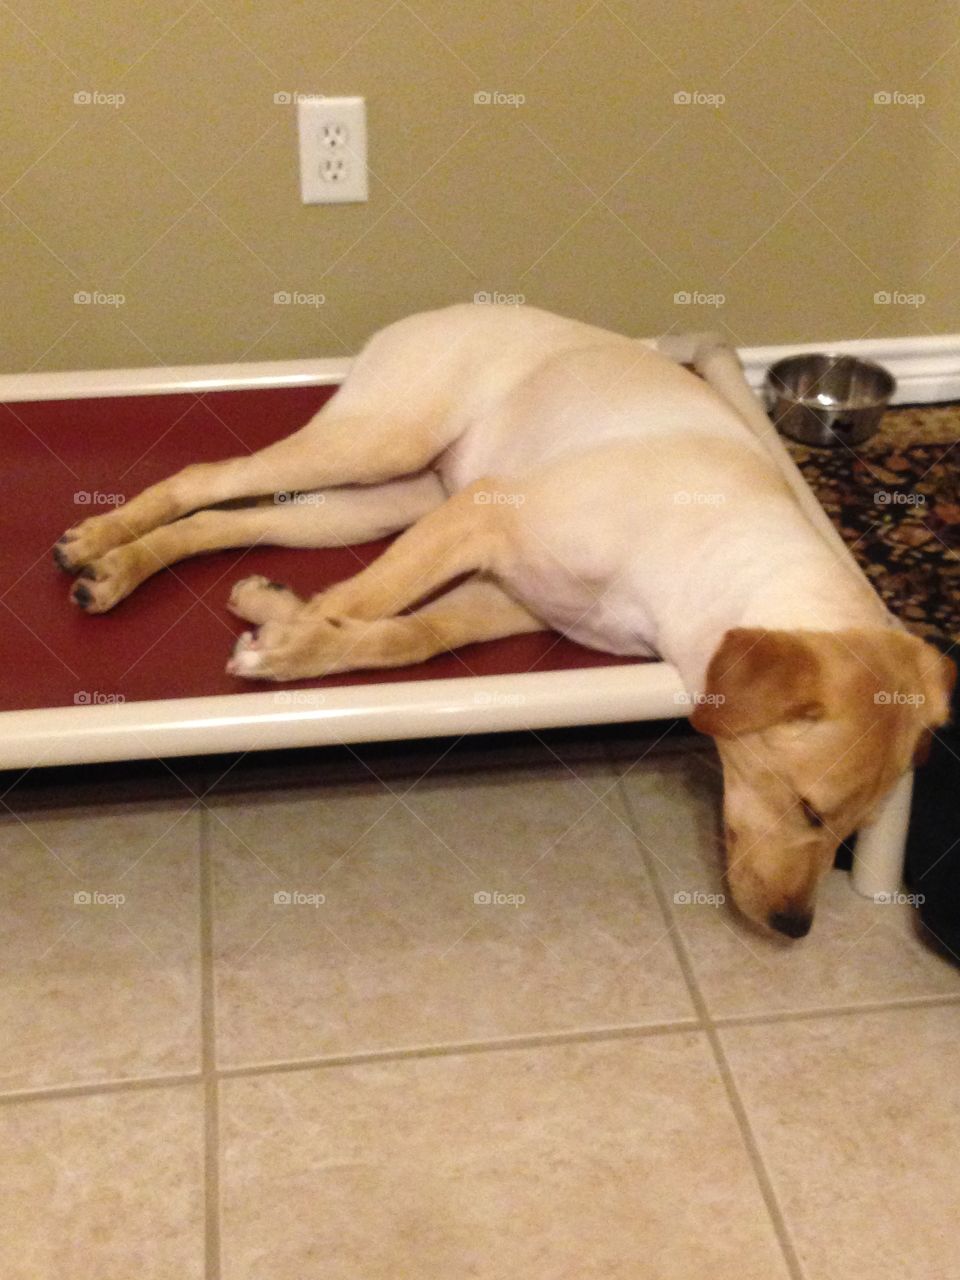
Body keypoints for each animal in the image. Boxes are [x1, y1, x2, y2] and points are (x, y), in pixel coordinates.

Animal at [54, 304, 957, 936]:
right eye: (809, 811)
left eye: (853, 829)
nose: (795, 930)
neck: (718, 558)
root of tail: (438, 311)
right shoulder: (481, 522)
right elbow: (364, 601)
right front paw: (292, 645)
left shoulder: (505, 592)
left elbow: (405, 632)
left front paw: (286, 618)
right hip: (378, 448)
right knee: (205, 477)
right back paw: (99, 542)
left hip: (382, 502)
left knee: (225, 520)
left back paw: (122, 570)